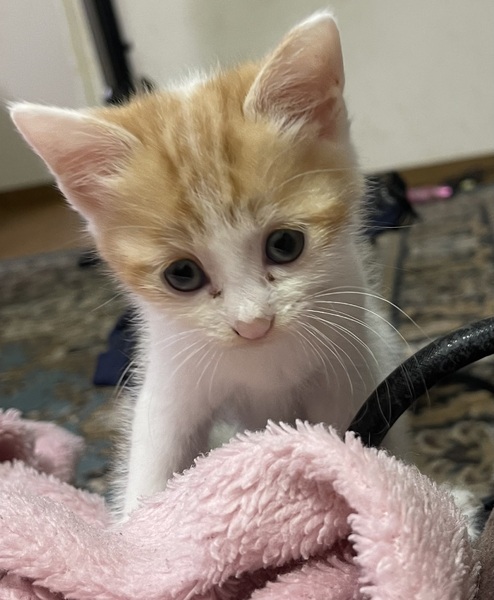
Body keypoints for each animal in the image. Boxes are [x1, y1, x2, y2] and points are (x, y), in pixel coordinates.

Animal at [10, 11, 405, 516]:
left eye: (285, 244)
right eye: (182, 274)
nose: (253, 325)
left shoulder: (351, 366)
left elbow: (348, 439)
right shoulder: (169, 377)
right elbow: (155, 452)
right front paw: (132, 532)